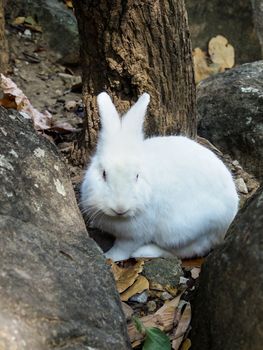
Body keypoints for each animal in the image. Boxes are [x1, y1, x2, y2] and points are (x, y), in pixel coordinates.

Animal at [81, 91, 240, 262]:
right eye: (104, 174)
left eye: (137, 176)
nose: (120, 208)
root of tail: (229, 219)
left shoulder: (135, 235)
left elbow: (123, 249)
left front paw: (109, 256)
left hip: (182, 229)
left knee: (186, 251)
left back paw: (144, 252)